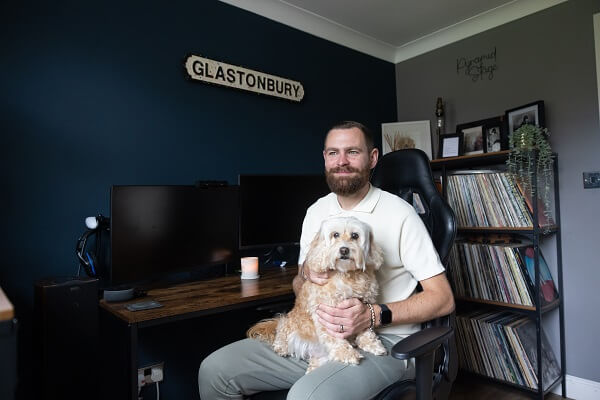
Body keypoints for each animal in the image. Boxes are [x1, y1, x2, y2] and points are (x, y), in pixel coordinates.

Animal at [247, 217, 384, 374]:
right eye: (335, 234)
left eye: (355, 235)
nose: (344, 249)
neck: (346, 274)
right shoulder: (325, 313)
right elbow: (333, 336)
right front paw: (346, 353)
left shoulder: (363, 307)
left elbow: (366, 327)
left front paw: (372, 344)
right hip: (289, 323)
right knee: (282, 328)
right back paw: (281, 346)